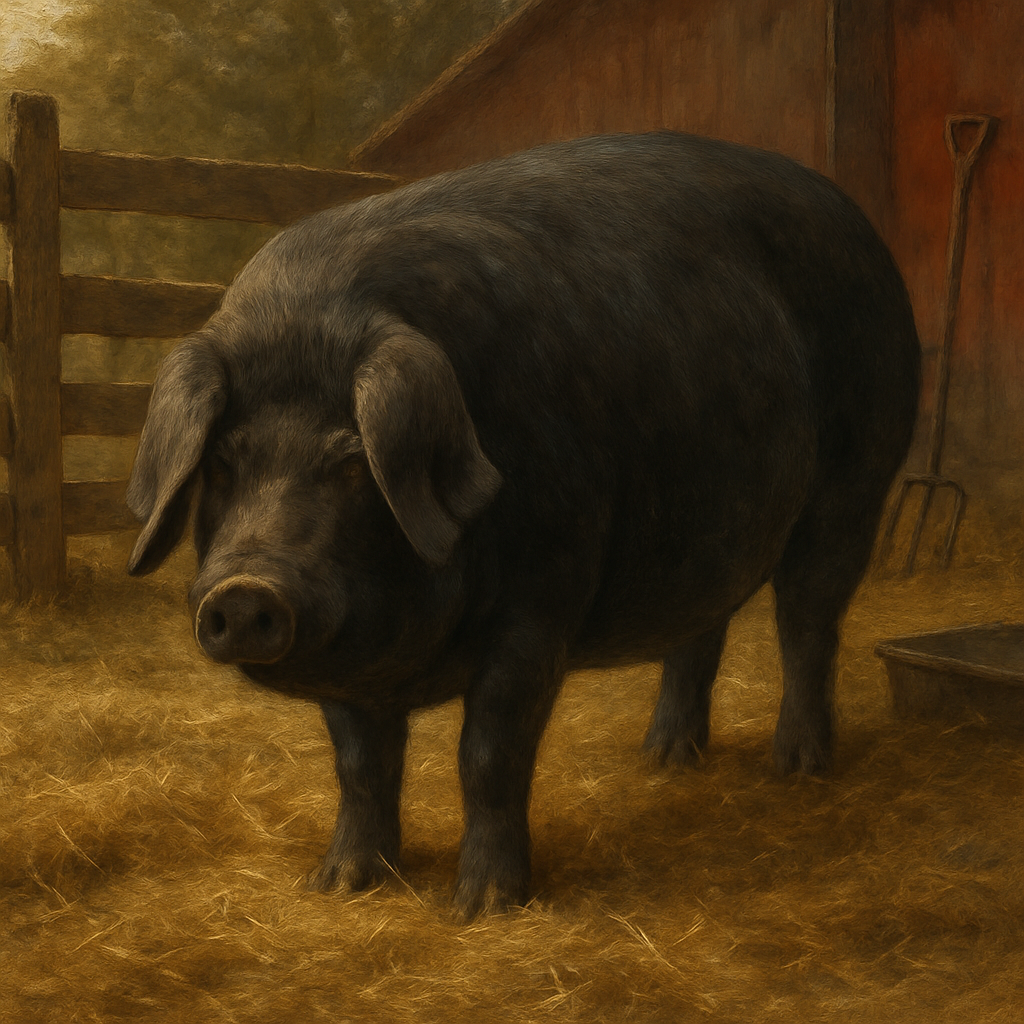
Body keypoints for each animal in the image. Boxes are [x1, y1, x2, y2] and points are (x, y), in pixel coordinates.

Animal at [126, 131, 921, 918]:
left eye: (353, 461)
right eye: (222, 461)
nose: (244, 590)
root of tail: (856, 222)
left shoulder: (543, 600)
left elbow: (489, 753)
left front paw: (484, 909)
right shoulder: (351, 663)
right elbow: (360, 764)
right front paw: (342, 885)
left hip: (857, 479)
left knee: (809, 620)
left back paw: (798, 768)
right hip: (703, 520)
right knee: (702, 626)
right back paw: (663, 761)